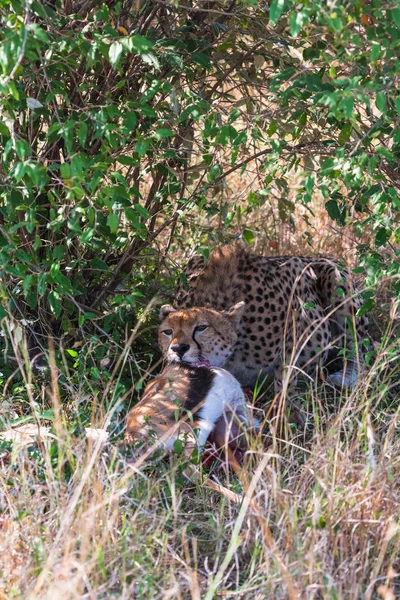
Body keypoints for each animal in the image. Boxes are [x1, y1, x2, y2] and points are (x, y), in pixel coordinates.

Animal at [173, 246, 368, 396]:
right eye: (169, 331)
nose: (177, 349)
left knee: (362, 349)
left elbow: (285, 375)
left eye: (201, 328)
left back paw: (345, 377)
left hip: (336, 278)